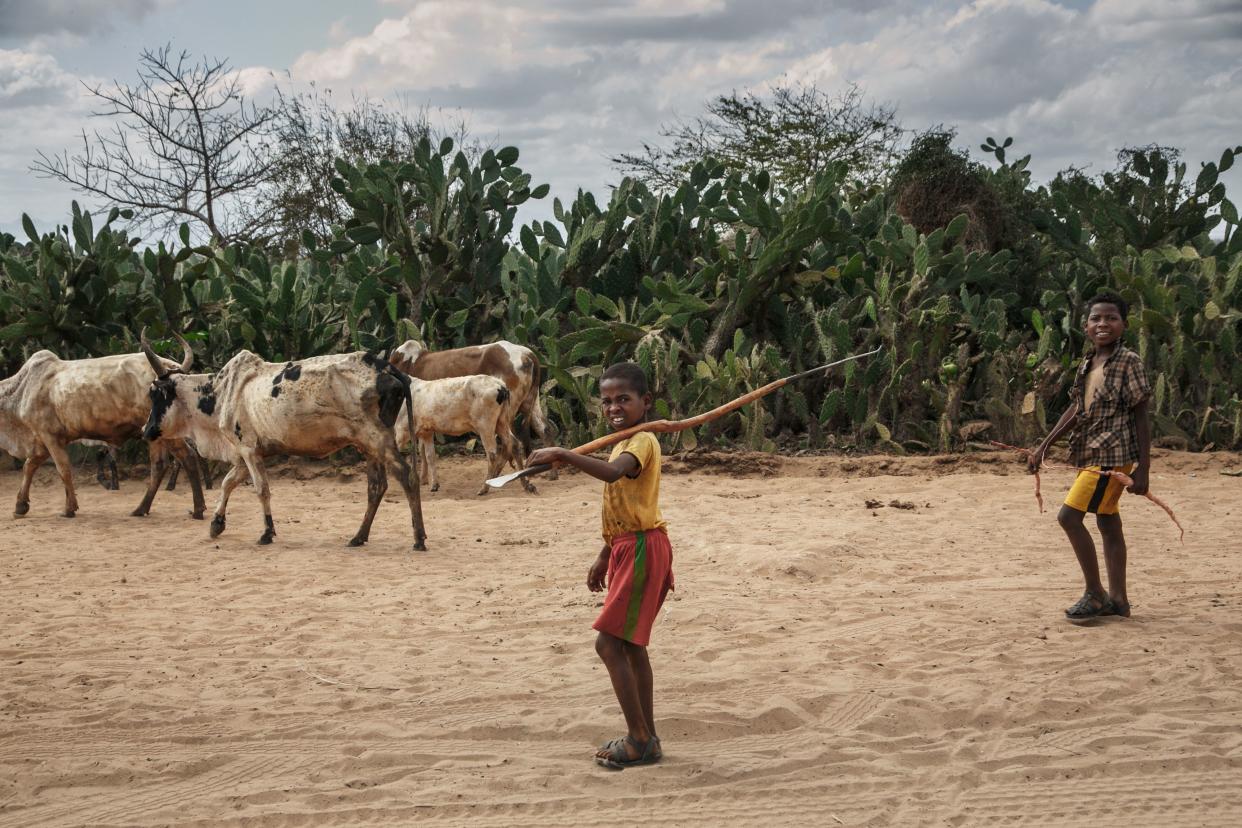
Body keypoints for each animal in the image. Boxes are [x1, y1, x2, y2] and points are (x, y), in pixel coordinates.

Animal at [0, 340, 206, 521]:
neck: (20, 389)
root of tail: (174, 367)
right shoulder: (43, 441)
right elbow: (29, 466)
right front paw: (20, 506)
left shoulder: (50, 436)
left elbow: (63, 469)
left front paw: (69, 509)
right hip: (156, 435)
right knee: (160, 465)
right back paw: (141, 509)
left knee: (187, 457)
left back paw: (197, 510)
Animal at [141, 340, 427, 553]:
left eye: (155, 395)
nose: (146, 430)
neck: (219, 392)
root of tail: (386, 367)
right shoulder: (248, 453)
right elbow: (228, 483)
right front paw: (217, 523)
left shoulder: (248, 450)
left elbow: (261, 489)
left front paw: (267, 532)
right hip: (368, 446)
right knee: (376, 487)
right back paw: (359, 536)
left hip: (377, 440)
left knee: (408, 476)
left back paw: (419, 538)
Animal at [389, 340, 551, 489]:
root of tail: (528, 354)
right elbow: (425, 451)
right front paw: (426, 480)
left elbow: (421, 450)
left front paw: (422, 479)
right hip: (530, 402)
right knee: (542, 429)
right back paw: (549, 473)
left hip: (501, 416)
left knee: (505, 445)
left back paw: (495, 477)